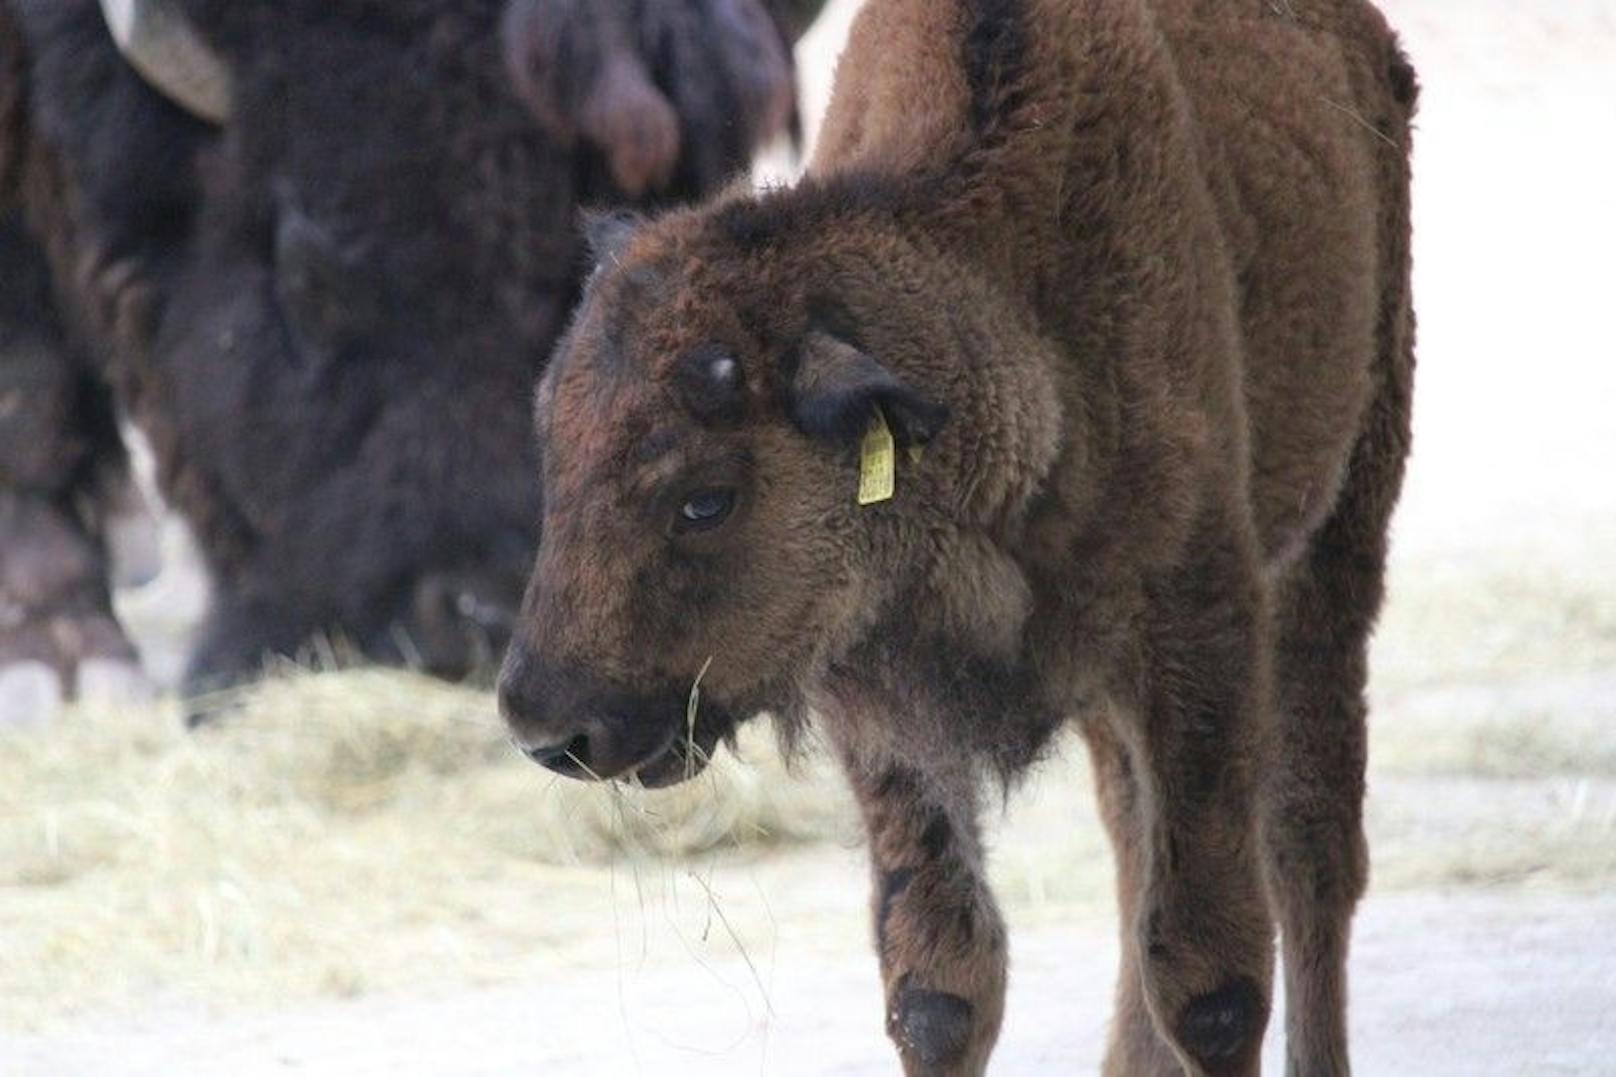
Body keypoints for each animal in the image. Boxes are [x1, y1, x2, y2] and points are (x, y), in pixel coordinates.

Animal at [494, 0, 1415, 1067]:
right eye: (552, 447)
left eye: (704, 499)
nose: (548, 724)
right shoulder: (883, 695)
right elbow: (941, 980)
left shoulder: (1199, 635)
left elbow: (1210, 977)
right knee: (1136, 846)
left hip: (1339, 535)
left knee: (1310, 854)